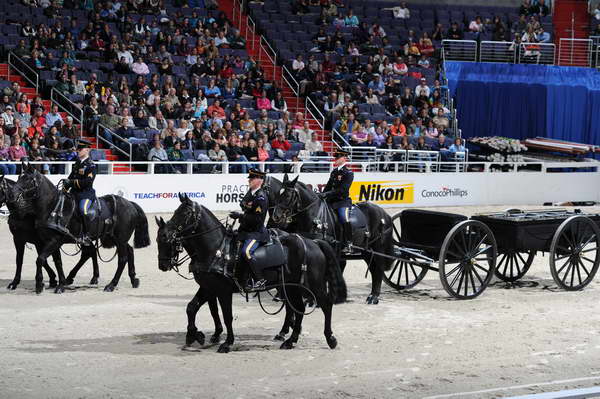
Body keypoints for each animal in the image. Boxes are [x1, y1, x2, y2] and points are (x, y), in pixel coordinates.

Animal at [10, 166, 150, 294]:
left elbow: (40, 259)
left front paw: (40, 285)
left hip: (119, 240)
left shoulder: (53, 241)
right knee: (129, 251)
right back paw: (133, 279)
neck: (53, 207)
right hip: (114, 238)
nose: (13, 194)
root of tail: (130, 204)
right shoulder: (51, 241)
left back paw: (111, 285)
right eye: (19, 177)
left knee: (122, 259)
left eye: (28, 179)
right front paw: (60, 284)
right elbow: (57, 262)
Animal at [156, 194, 346, 354]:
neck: (217, 249)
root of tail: (314, 242)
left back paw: (330, 338)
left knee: (325, 305)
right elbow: (192, 308)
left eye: (186, 213)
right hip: (292, 287)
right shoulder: (208, 287)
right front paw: (195, 335)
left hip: (313, 285)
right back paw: (290, 340)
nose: (163, 265)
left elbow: (226, 316)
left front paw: (227, 343)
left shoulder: (223, 290)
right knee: (297, 309)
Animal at [270, 173, 394, 304]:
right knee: (374, 270)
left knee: (378, 270)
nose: (275, 216)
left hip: (378, 248)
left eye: (287, 195)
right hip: (366, 250)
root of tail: (385, 215)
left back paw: (374, 297)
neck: (315, 216)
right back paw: (372, 295)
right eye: (278, 194)